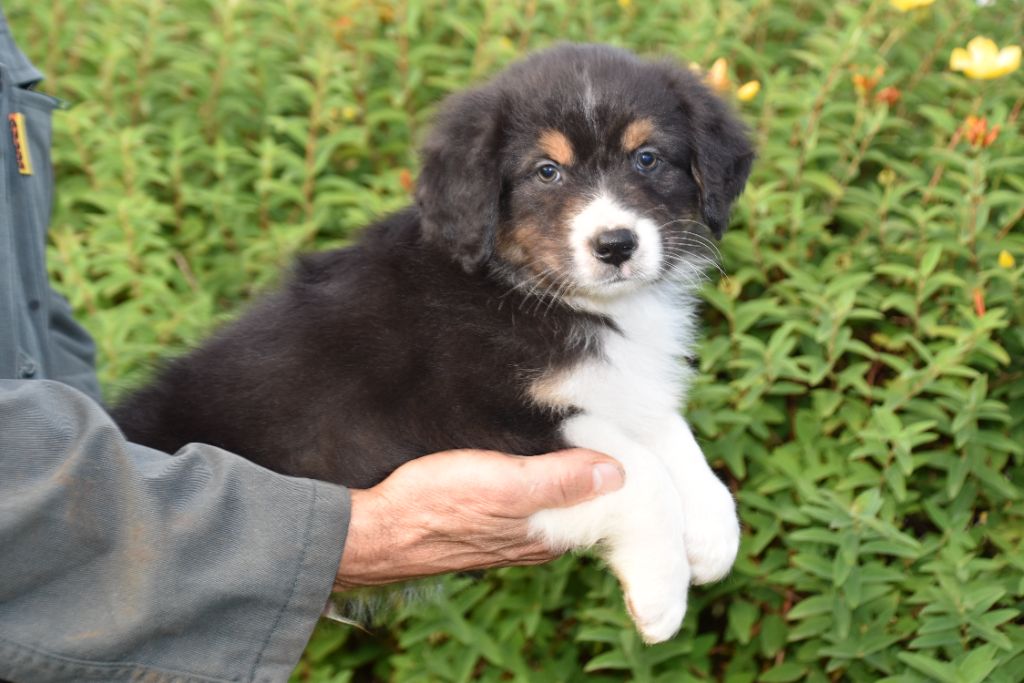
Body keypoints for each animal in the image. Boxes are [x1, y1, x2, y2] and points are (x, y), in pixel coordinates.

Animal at [112, 43, 754, 644]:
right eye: (547, 171)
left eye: (647, 158)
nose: (616, 245)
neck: (526, 291)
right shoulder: (467, 419)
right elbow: (639, 470)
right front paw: (661, 593)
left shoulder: (614, 383)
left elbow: (672, 436)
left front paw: (714, 534)